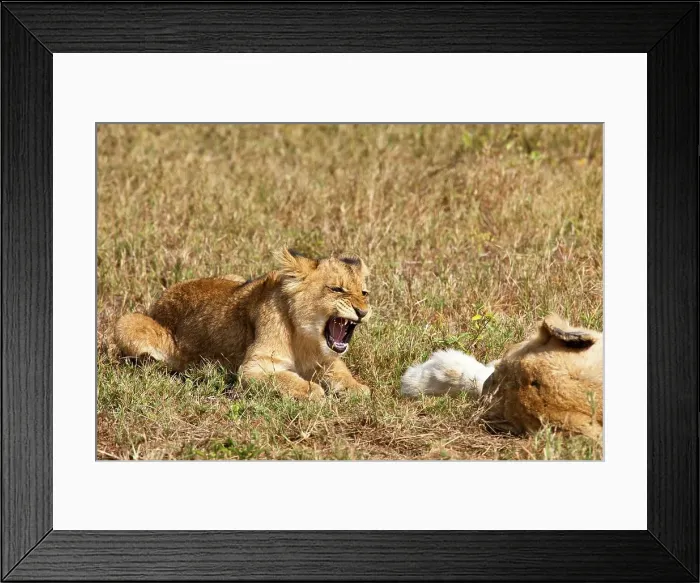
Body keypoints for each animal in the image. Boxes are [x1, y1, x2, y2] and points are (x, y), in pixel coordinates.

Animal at [114, 248, 372, 400]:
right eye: (337, 289)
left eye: (364, 293)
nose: (363, 312)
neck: (307, 338)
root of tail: (160, 300)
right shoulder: (254, 368)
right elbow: (286, 379)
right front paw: (313, 390)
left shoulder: (326, 360)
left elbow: (343, 374)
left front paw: (357, 389)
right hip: (127, 323)